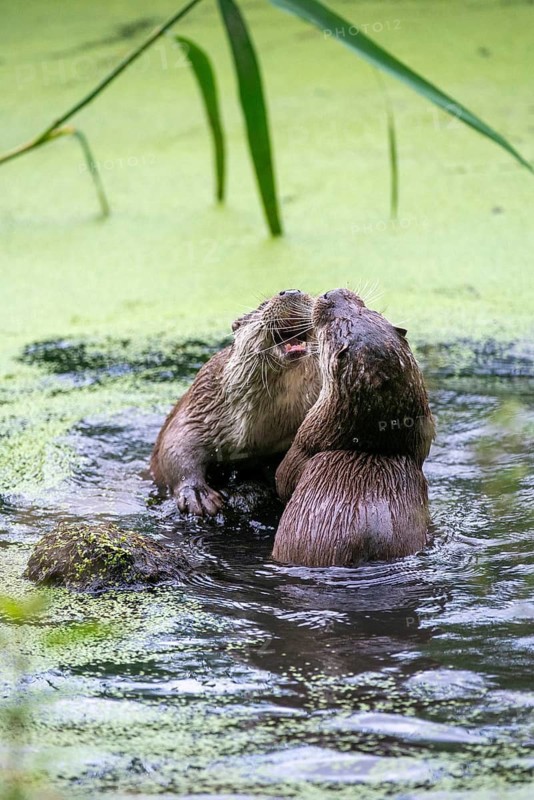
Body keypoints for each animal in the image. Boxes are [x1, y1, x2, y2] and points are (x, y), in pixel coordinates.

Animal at [151, 290, 320, 516]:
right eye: (262, 305)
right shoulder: (200, 406)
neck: (262, 430)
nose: (293, 291)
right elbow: (175, 447)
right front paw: (196, 494)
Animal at [272, 288, 435, 567]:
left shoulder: (302, 447)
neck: (371, 446)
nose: (329, 294)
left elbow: (282, 482)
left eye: (333, 325)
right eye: (367, 309)